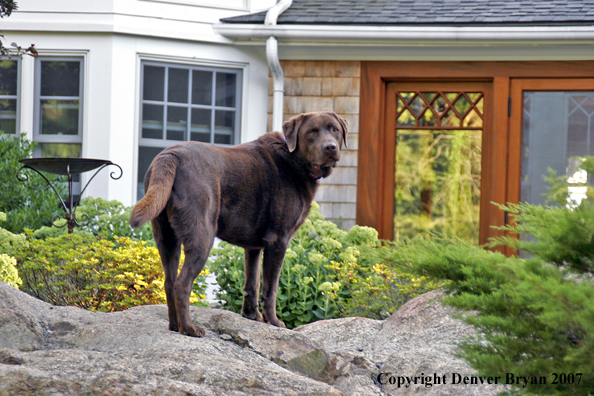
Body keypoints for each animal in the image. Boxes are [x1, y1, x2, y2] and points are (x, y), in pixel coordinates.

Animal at [130, 111, 346, 338]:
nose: (330, 147)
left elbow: (252, 283)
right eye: (312, 132)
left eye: (334, 129)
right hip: (202, 237)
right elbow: (271, 287)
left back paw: (175, 326)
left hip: (166, 238)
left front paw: (251, 316)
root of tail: (170, 155)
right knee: (182, 284)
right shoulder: (278, 240)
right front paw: (274, 322)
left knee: (169, 282)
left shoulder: (254, 246)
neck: (293, 158)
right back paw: (189, 329)